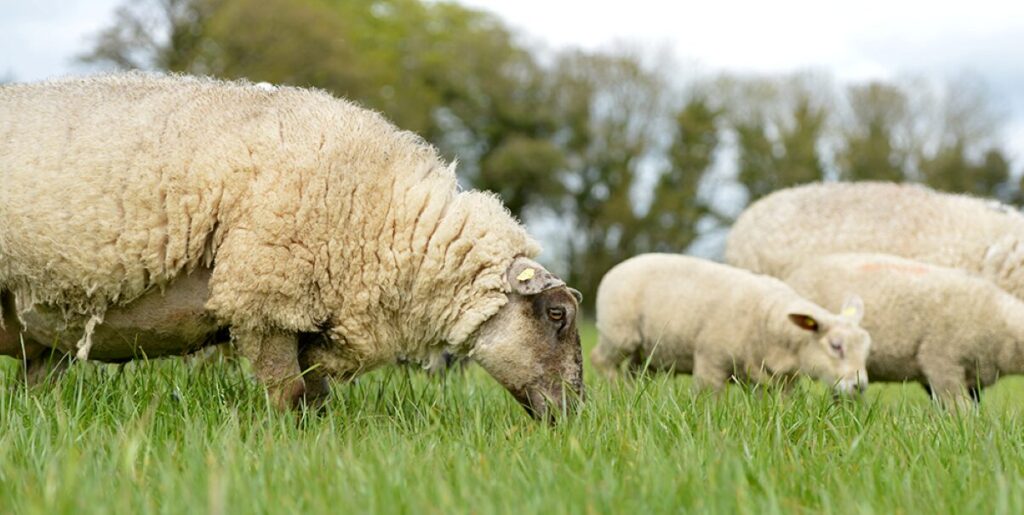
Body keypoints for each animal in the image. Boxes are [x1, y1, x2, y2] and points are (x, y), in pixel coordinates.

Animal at [0, 73, 584, 419]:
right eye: (557, 314)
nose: (575, 415)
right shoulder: (265, 297)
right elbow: (287, 393)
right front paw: (284, 444)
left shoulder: (311, 318)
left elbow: (315, 397)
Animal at [590, 253, 870, 394]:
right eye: (836, 346)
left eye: (866, 350)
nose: (860, 386)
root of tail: (617, 267)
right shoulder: (710, 363)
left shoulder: (779, 382)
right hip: (619, 334)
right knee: (600, 360)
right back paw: (618, 392)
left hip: (648, 351)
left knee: (635, 372)